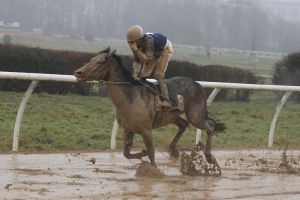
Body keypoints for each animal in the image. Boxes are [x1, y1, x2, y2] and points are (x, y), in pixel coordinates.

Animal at [74, 48, 225, 167]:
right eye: (91, 59)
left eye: (100, 62)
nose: (78, 72)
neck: (131, 97)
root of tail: (197, 84)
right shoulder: (128, 129)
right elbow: (126, 153)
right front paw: (142, 152)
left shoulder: (146, 130)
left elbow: (152, 154)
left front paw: (152, 169)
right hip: (172, 116)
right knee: (183, 124)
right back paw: (173, 150)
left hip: (195, 115)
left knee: (210, 126)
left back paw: (209, 156)